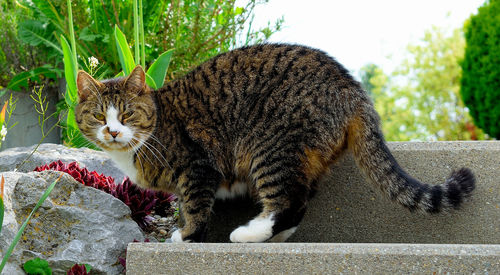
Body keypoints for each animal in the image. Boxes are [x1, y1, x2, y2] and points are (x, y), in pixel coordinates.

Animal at [75, 43, 476, 244]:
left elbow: (195, 206)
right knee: (299, 202)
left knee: (287, 201)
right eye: (99, 117)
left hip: (270, 146)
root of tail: (353, 89)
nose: (113, 132)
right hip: (299, 155)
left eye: (127, 115)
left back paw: (248, 234)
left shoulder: (197, 166)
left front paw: (185, 236)